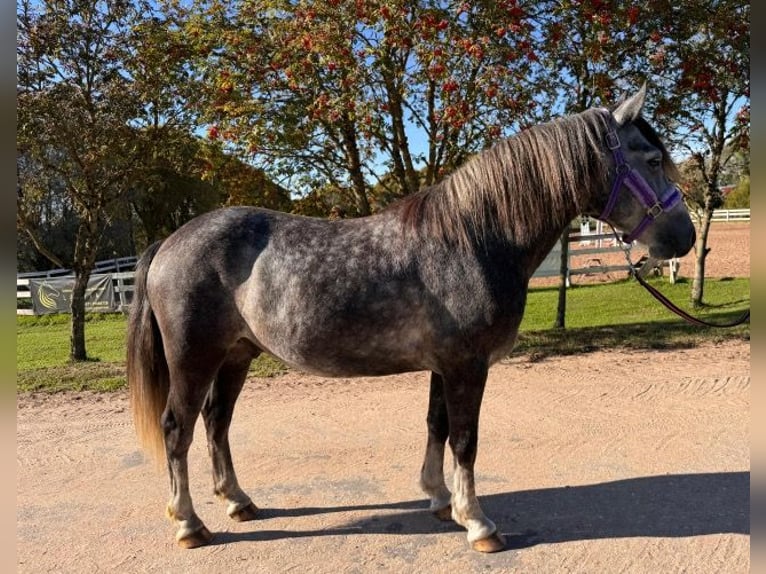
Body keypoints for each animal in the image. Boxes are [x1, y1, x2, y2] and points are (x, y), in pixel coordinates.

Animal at [129, 85, 700, 552]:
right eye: (652, 158)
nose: (685, 238)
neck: (474, 239)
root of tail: (169, 243)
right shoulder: (467, 366)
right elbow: (465, 439)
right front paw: (479, 524)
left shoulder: (444, 366)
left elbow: (436, 426)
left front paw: (440, 500)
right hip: (194, 359)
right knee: (177, 428)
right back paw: (189, 524)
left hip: (237, 356)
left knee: (216, 422)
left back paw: (238, 501)